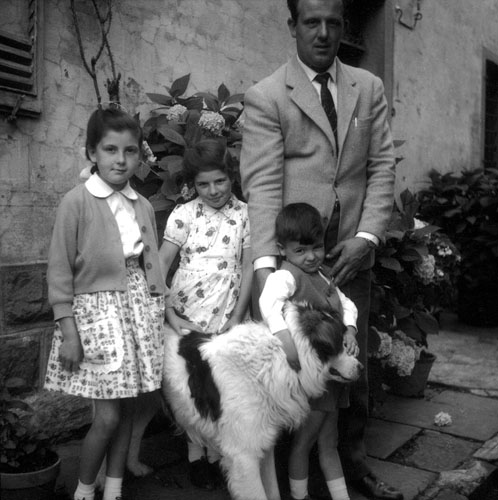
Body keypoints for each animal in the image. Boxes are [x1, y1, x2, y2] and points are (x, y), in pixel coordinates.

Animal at [162, 300, 363, 500]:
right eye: (341, 344)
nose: (361, 368)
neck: (279, 359)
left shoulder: (263, 441)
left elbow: (272, 489)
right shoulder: (244, 455)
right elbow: (257, 493)